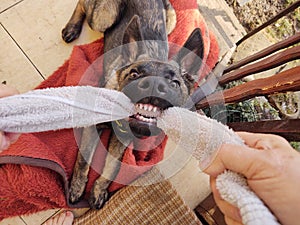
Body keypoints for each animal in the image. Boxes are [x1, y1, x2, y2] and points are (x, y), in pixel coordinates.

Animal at [62, 0, 205, 209]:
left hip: (171, 21)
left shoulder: (121, 140)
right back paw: (72, 28)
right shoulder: (92, 126)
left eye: (174, 83)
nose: (153, 85)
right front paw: (77, 188)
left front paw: (98, 190)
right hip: (105, 17)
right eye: (135, 74)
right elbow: (84, 159)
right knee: (84, 6)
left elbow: (113, 167)